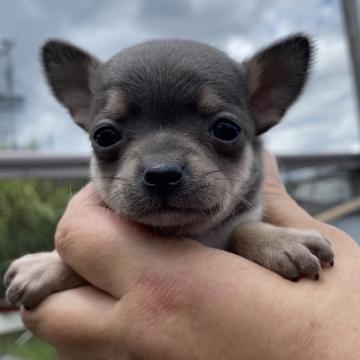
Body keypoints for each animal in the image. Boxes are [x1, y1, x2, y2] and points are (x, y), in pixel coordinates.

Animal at [3, 34, 334, 310]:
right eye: (104, 136)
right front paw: (46, 265)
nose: (161, 173)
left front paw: (280, 240)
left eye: (226, 130)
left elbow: (241, 228)